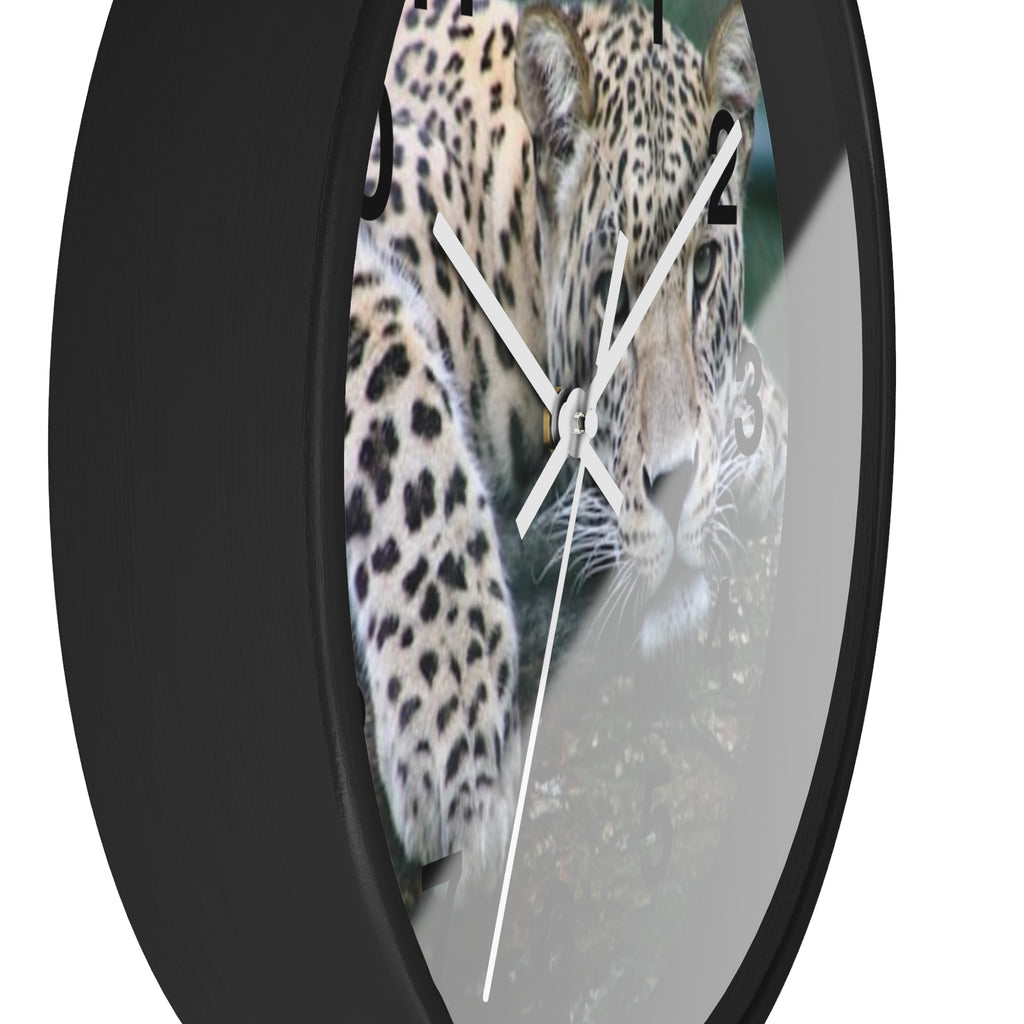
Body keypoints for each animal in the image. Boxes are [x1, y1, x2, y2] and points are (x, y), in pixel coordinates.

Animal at [345, 0, 788, 885]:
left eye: (703, 270)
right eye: (611, 291)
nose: (675, 486)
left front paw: (755, 428)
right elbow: (397, 389)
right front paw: (453, 725)